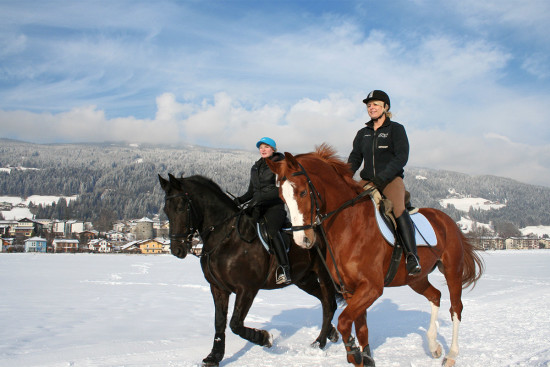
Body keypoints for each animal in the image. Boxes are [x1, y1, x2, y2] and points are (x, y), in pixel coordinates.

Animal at [268, 146, 488, 367]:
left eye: (302, 192)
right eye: (282, 197)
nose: (302, 240)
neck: (348, 226)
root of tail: (448, 221)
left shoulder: (372, 288)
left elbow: (344, 321)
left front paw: (354, 352)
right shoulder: (350, 290)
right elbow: (360, 327)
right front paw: (362, 355)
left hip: (452, 271)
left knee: (456, 308)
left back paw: (450, 355)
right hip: (416, 278)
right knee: (435, 295)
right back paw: (434, 346)